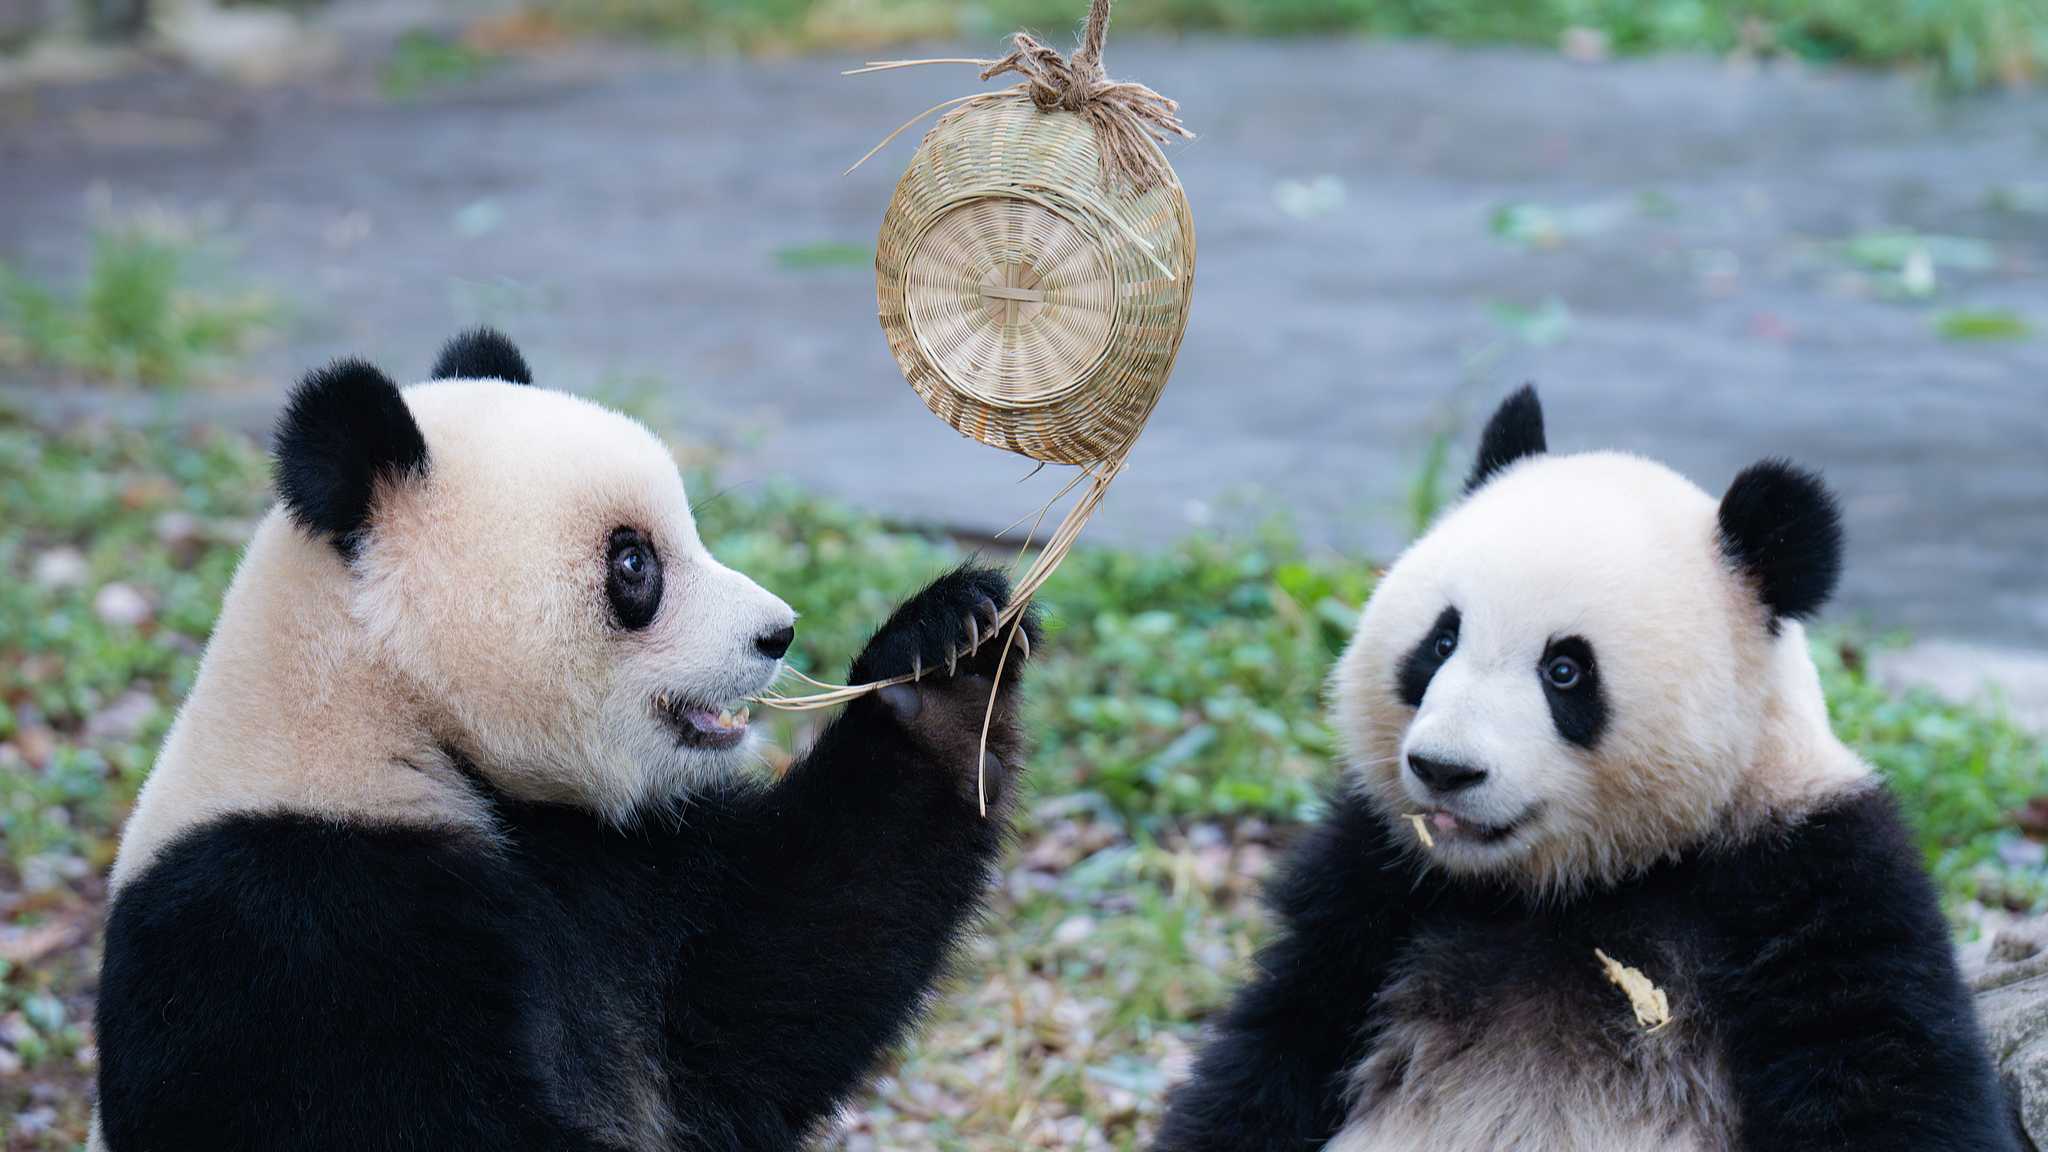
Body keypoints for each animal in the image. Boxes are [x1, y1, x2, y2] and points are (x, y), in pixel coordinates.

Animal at [92, 329, 1040, 1152]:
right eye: (634, 563)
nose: (778, 633)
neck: (394, 718)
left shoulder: (621, 864)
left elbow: (768, 987)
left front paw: (945, 666)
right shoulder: (285, 922)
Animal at [1154, 386, 2016, 1152]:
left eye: (1565, 671)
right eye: (1441, 640)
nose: (1444, 769)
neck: (1566, 888)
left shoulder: (1810, 872)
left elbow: (1882, 1074)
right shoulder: (1375, 881)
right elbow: (1281, 1041)